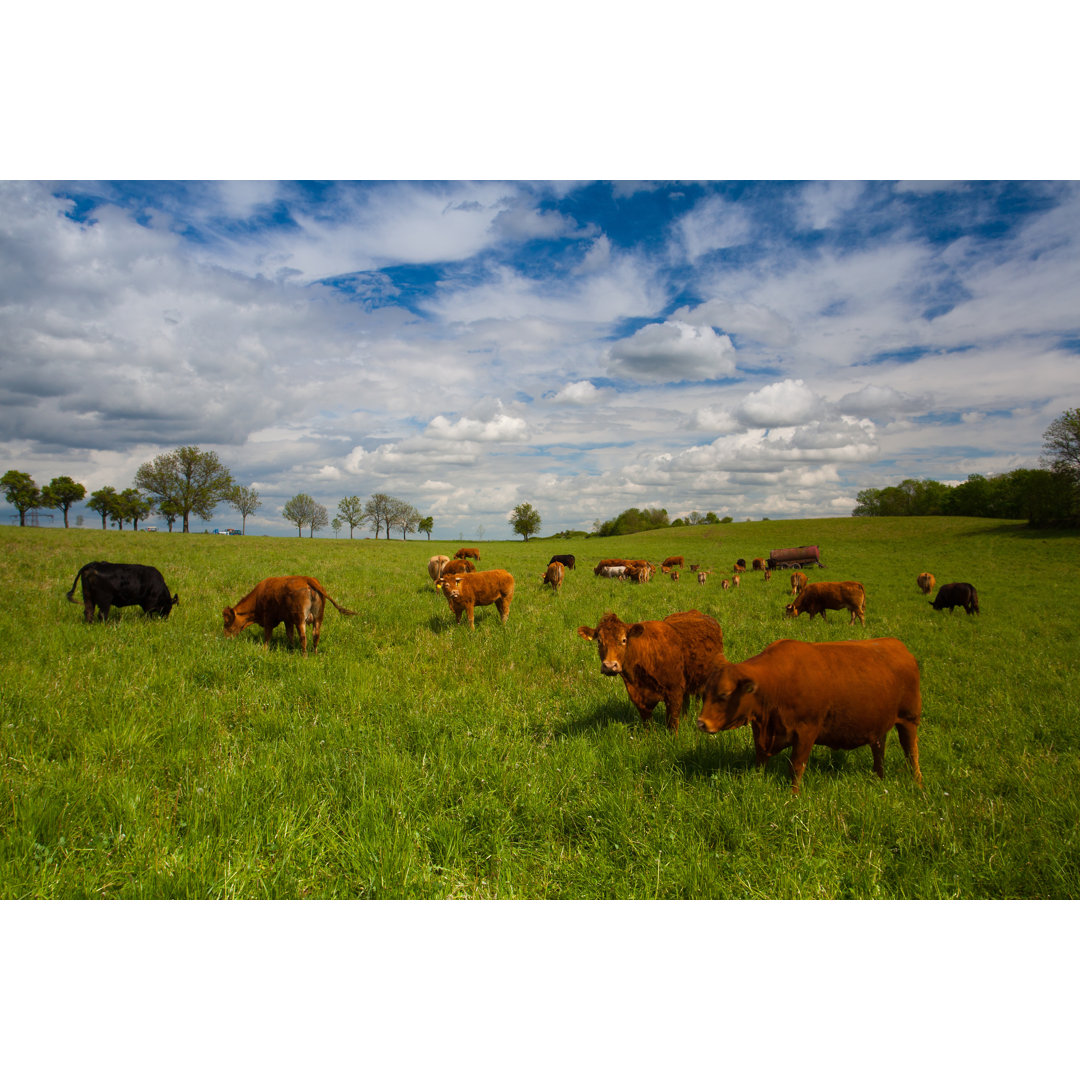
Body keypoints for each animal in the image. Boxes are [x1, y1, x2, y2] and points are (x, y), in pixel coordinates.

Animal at [221, 578, 356, 652]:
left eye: (227, 623)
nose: (225, 638)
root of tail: (308, 579)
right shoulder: (288, 620)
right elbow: (289, 635)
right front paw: (291, 649)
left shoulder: (268, 619)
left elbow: (267, 637)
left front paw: (264, 650)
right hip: (318, 618)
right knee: (315, 636)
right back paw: (314, 653)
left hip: (301, 620)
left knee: (303, 637)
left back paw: (304, 656)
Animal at [578, 609, 721, 734]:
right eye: (599, 641)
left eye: (624, 640)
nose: (609, 665)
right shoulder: (638, 698)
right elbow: (648, 726)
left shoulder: (674, 693)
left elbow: (672, 724)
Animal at [699, 630, 920, 794]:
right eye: (704, 694)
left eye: (724, 694)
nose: (702, 722)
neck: (777, 682)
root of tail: (899, 647)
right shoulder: (761, 729)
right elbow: (760, 758)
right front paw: (757, 779)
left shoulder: (807, 731)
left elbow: (796, 765)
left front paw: (793, 795)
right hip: (879, 724)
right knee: (879, 750)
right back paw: (879, 777)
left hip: (909, 719)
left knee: (911, 753)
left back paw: (917, 783)